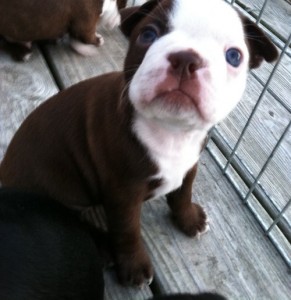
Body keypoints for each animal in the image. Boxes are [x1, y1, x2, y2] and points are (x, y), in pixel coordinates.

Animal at [0, 0, 278, 286]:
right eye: (148, 35)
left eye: (234, 56)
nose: (186, 59)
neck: (171, 132)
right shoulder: (124, 195)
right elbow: (128, 232)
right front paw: (134, 267)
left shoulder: (189, 165)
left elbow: (183, 194)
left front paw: (189, 220)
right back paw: (103, 247)